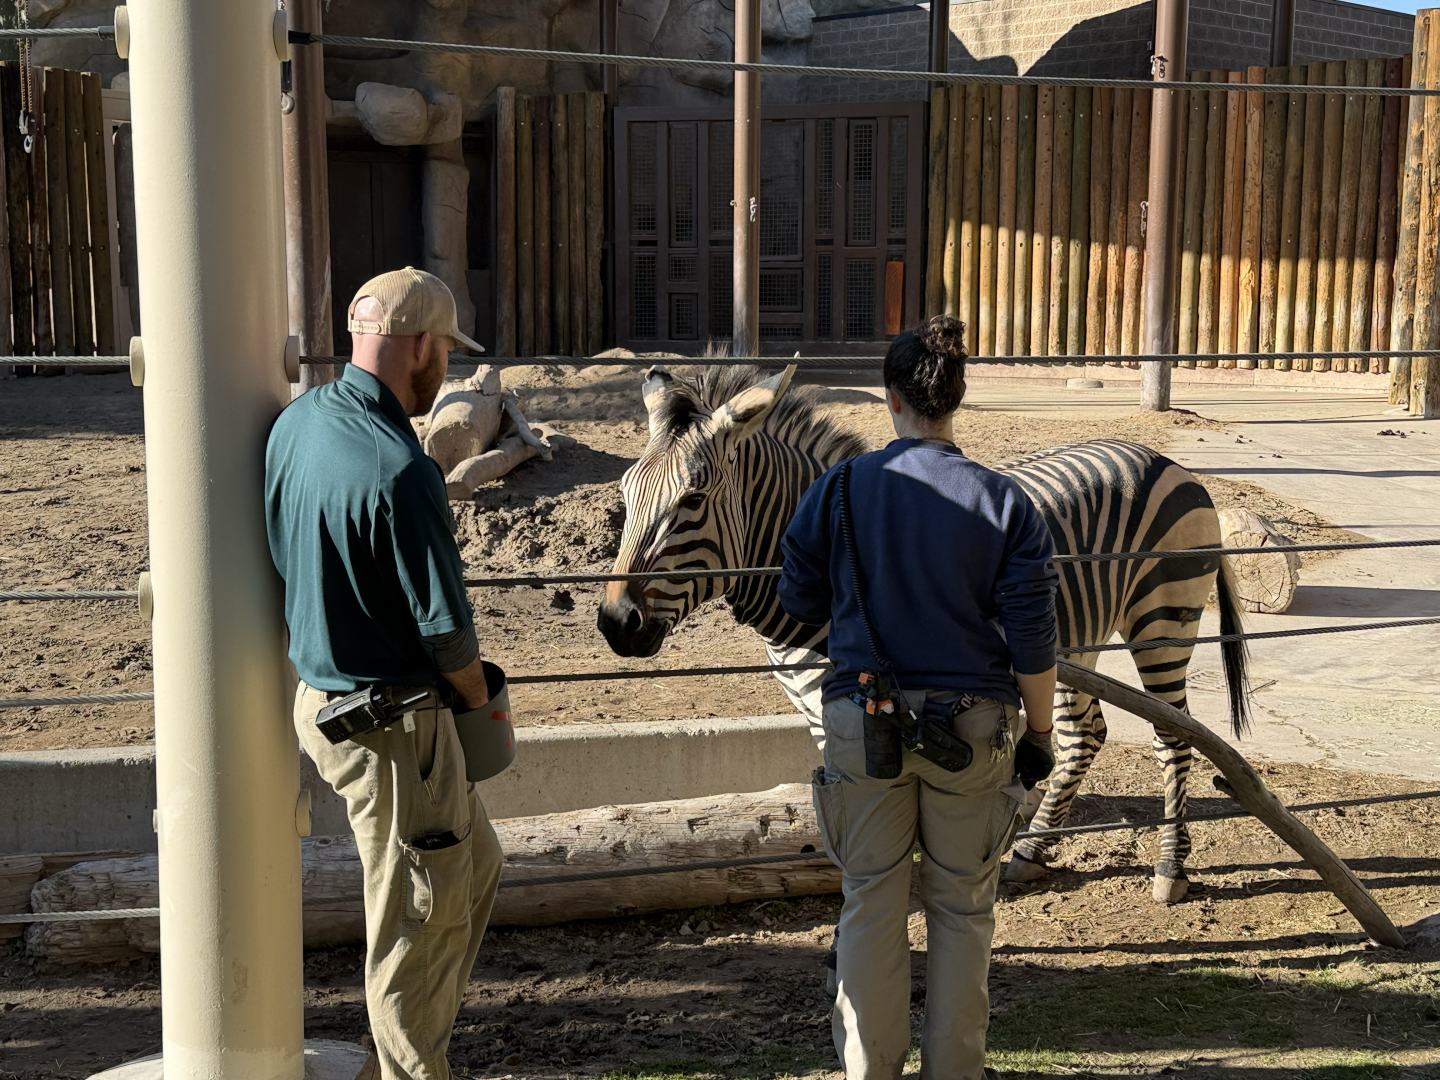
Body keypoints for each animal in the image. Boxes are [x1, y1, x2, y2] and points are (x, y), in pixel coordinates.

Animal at [595, 363, 1251, 903]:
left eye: (693, 500)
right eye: (625, 493)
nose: (615, 624)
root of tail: (1167, 461)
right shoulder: (820, 711)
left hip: (1162, 619)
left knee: (1174, 733)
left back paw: (1170, 869)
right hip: (1071, 639)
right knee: (1085, 733)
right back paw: (1032, 852)